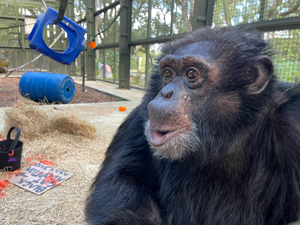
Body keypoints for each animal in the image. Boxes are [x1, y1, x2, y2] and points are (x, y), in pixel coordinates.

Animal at [85, 25, 300, 224]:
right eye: (168, 73)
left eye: (191, 74)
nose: (165, 93)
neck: (226, 136)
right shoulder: (139, 120)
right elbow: (123, 178)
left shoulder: (293, 122)